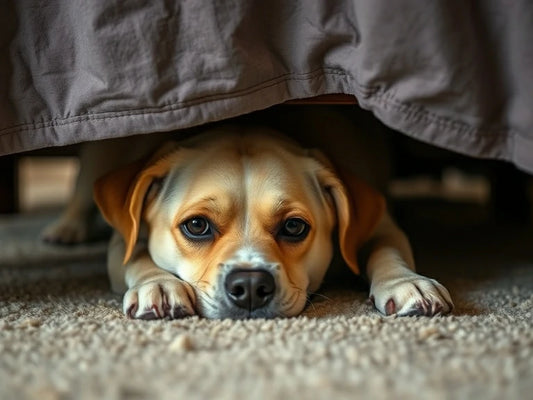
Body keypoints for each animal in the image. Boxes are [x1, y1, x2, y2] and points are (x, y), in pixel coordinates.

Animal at [88, 120, 454, 320]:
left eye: (293, 226)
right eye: (196, 225)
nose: (250, 286)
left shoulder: (380, 224)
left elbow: (386, 250)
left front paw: (406, 282)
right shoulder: (123, 238)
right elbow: (136, 252)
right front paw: (160, 285)